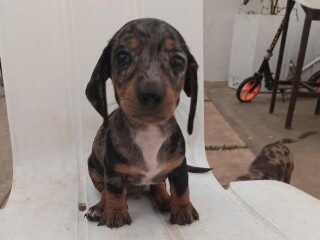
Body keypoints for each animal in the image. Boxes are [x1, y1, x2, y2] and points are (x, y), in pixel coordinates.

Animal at [84, 17, 211, 228]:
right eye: (122, 57)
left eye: (178, 62)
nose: (151, 94)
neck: (148, 131)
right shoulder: (113, 169)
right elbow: (114, 191)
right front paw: (115, 213)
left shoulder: (178, 166)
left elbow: (182, 189)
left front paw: (183, 210)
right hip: (93, 167)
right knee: (104, 190)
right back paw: (100, 207)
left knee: (157, 184)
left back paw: (164, 198)